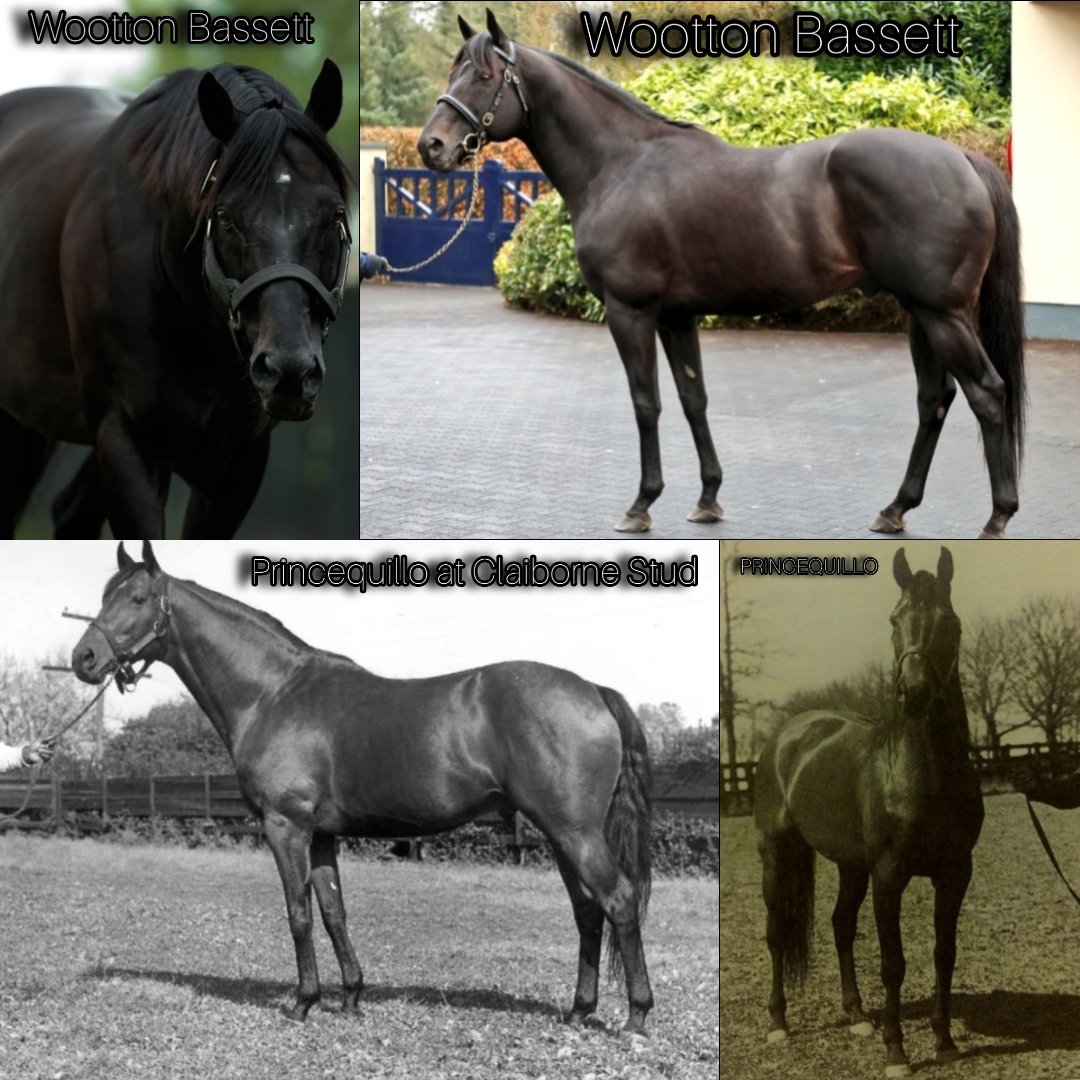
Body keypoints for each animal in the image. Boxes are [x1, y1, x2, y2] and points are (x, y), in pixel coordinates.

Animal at [71, 541, 654, 1033]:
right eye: (104, 596)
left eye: (138, 598)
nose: (84, 659)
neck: (273, 693)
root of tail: (592, 690)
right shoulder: (322, 835)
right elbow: (334, 913)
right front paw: (351, 997)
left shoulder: (286, 827)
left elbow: (299, 913)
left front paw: (304, 1003)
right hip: (562, 834)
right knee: (588, 911)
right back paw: (579, 1012)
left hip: (574, 831)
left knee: (619, 901)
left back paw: (636, 1017)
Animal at [418, 11, 1024, 538]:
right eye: (453, 72)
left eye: (485, 76)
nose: (432, 146)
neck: (621, 165)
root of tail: (962, 159)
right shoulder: (676, 316)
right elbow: (694, 400)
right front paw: (708, 498)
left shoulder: (630, 311)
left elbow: (646, 403)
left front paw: (641, 504)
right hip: (920, 313)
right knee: (934, 400)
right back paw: (896, 508)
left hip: (942, 314)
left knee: (988, 393)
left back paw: (997, 517)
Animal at [753, 547, 983, 1077]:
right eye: (895, 620)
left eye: (950, 622)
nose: (914, 692)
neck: (922, 772)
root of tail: (787, 735)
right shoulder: (890, 875)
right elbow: (894, 962)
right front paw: (897, 1052)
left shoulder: (955, 873)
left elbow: (944, 954)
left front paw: (944, 1041)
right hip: (778, 854)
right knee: (776, 933)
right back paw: (778, 1024)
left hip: (851, 865)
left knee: (841, 925)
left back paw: (857, 1015)